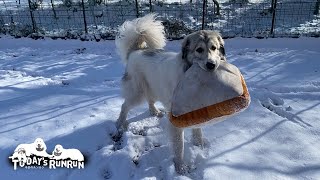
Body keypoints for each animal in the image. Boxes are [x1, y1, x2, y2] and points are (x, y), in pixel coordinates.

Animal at [115, 13, 225, 174]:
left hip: (154, 89)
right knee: (125, 106)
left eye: (214, 48)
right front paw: (180, 167)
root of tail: (136, 50)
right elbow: (179, 146)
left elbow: (197, 130)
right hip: (137, 93)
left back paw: (154, 112)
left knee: (149, 100)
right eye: (199, 50)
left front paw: (199, 145)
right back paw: (120, 124)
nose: (211, 65)